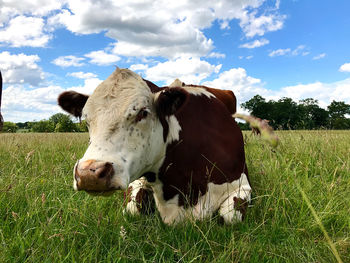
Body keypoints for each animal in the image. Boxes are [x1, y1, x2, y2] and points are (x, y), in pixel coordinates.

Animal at [58, 68, 276, 225]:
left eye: (143, 113)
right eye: (87, 119)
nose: (89, 174)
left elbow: (230, 217)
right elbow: (134, 208)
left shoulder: (242, 184)